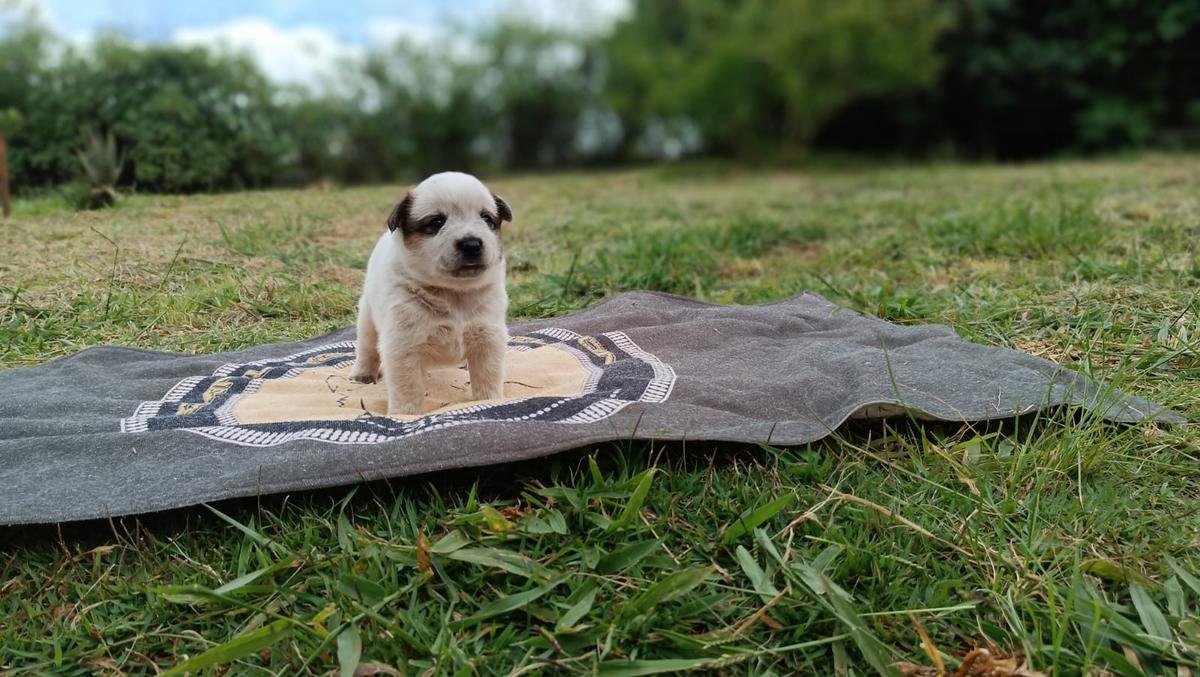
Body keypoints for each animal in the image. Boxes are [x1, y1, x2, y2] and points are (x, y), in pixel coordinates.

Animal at [350, 171, 511, 415]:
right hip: (367, 318)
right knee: (367, 348)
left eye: (486, 219)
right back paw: (363, 374)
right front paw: (405, 414)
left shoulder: (488, 337)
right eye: (436, 222)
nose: (471, 244)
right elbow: (407, 386)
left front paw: (490, 400)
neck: (453, 294)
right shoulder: (403, 345)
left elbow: (488, 375)